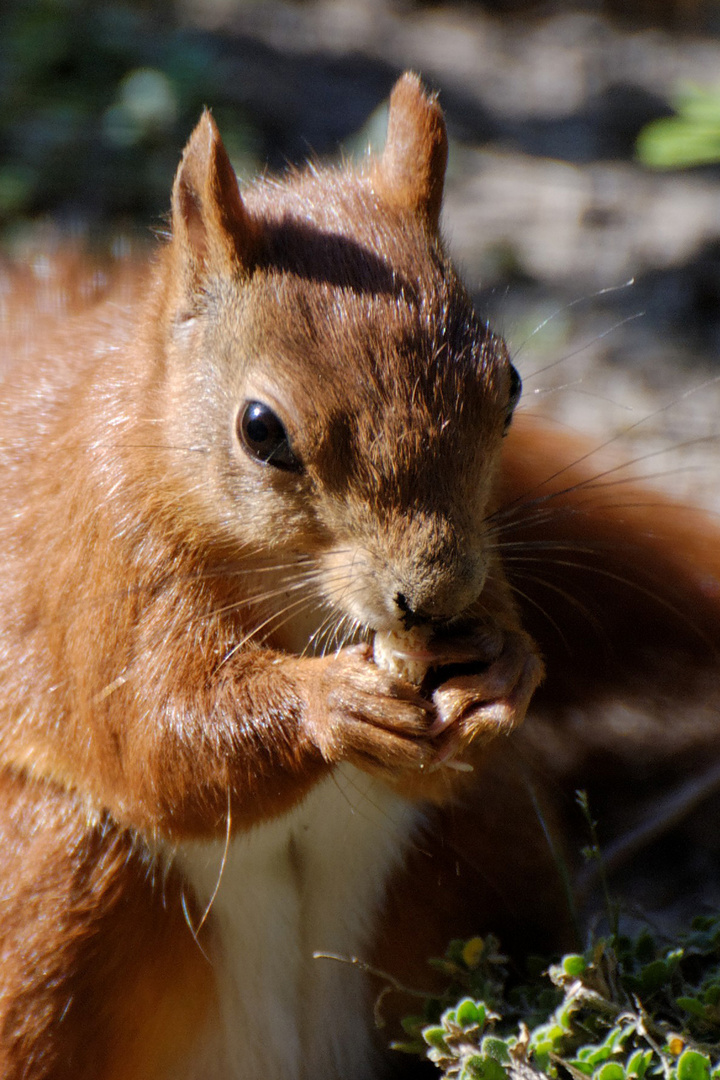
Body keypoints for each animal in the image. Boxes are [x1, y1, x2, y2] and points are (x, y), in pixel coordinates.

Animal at [1, 71, 720, 1075]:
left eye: (510, 384)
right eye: (260, 429)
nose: (434, 594)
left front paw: (506, 669)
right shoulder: (92, 565)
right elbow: (158, 739)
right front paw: (328, 704)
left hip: (489, 844)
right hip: (60, 883)